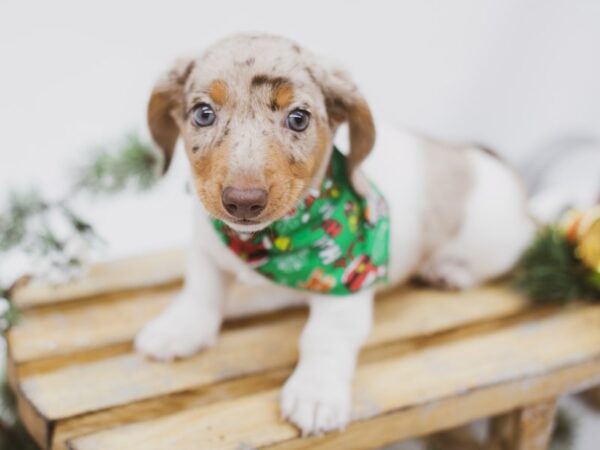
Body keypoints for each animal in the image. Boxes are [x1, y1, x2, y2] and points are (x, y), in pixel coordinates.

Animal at [136, 32, 536, 436]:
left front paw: (315, 393)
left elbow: (323, 338)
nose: (243, 202)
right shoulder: (205, 246)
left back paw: (451, 271)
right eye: (203, 113)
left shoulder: (347, 289)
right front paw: (179, 329)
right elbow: (200, 292)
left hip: (494, 243)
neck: (267, 239)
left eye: (298, 118)